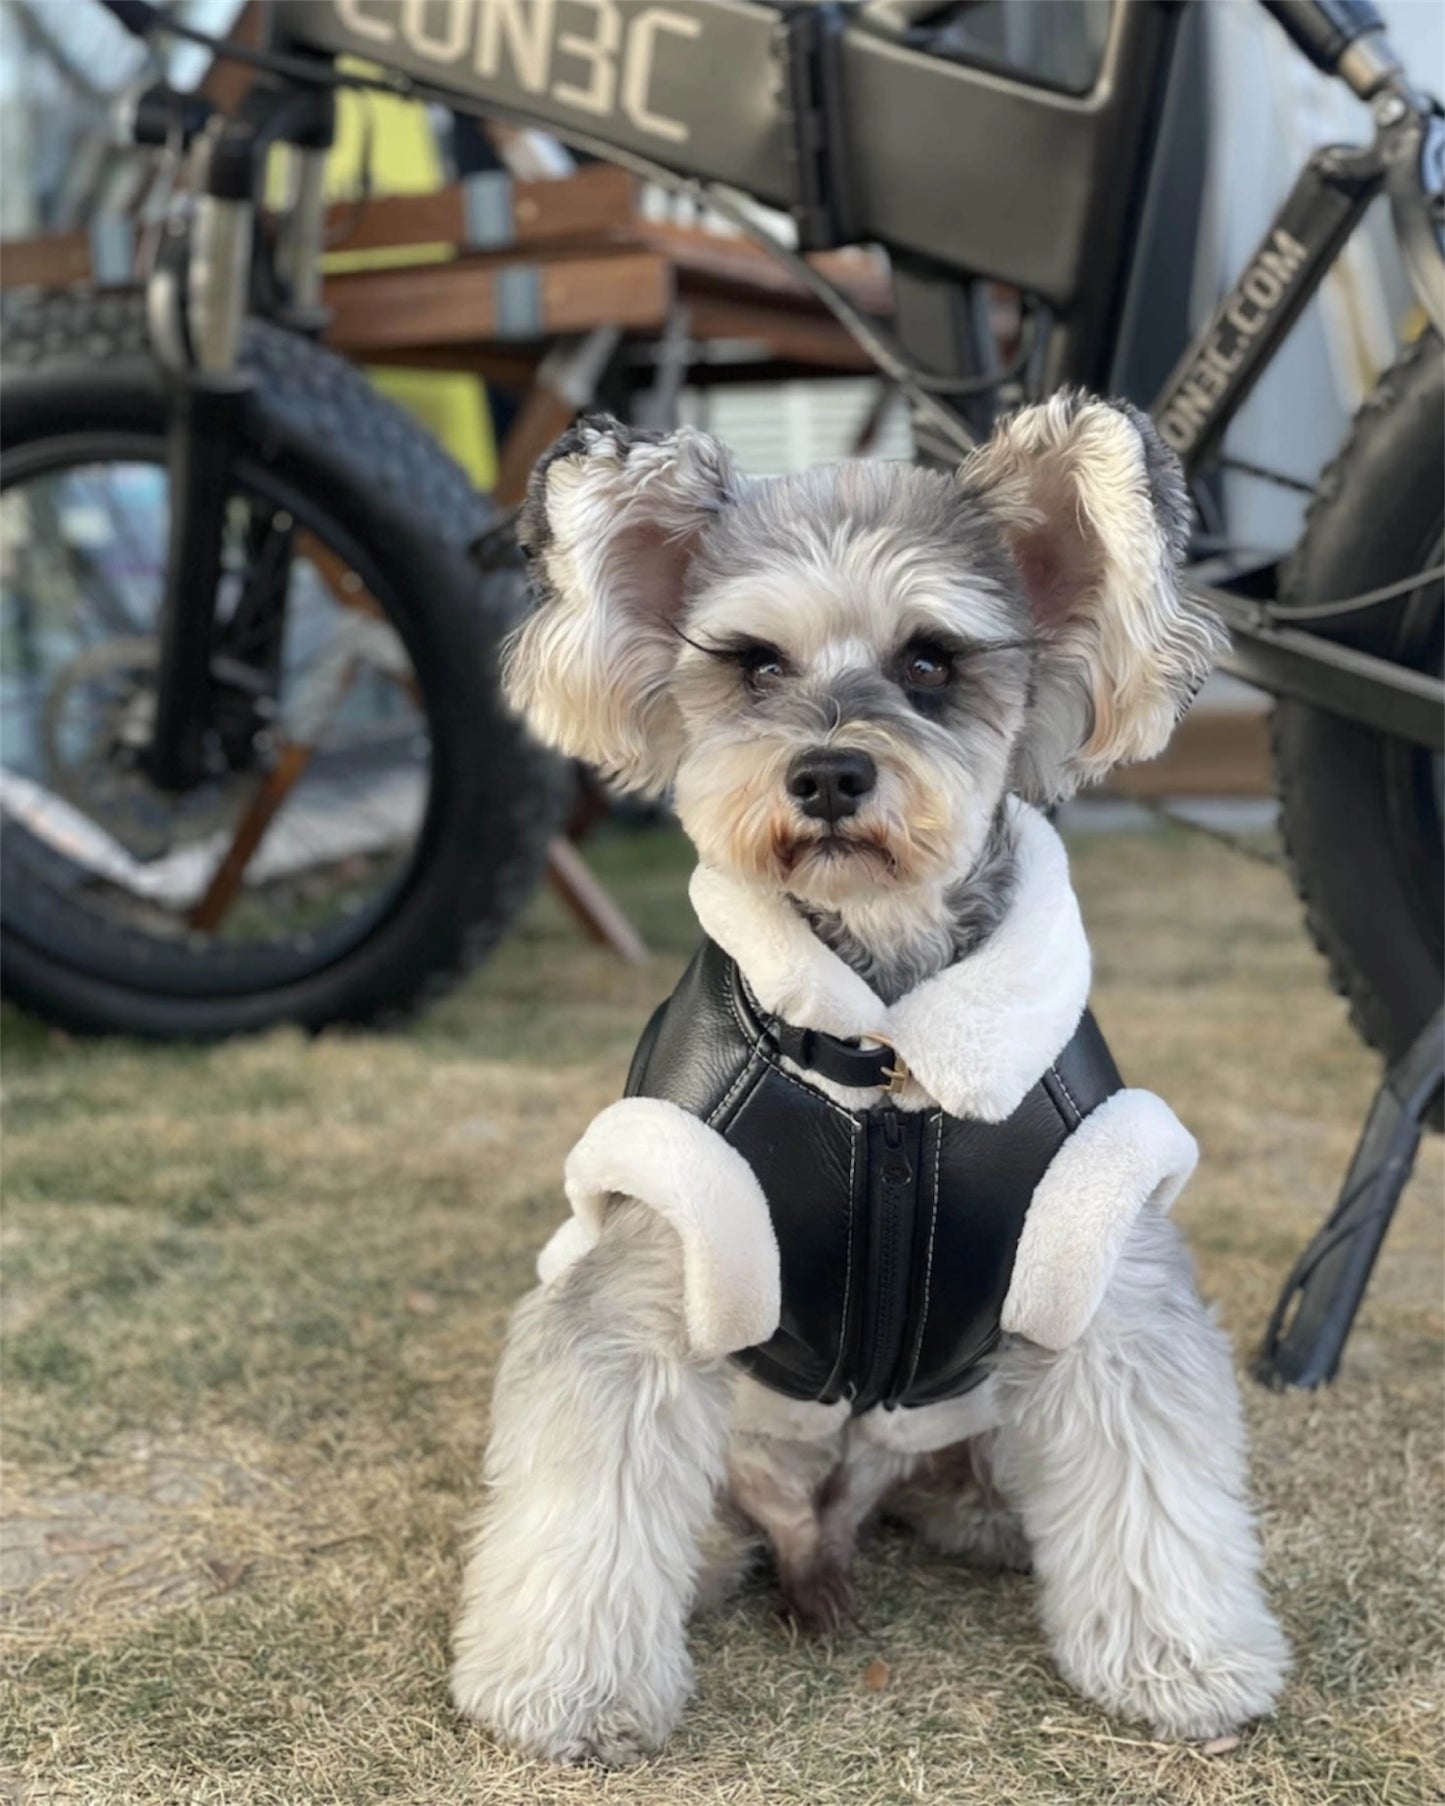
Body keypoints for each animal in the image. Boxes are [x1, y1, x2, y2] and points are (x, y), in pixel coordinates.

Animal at [451, 395, 1286, 1762]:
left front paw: (1181, 1662)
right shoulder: (652, 1261)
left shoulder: (1099, 1263)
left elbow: (1150, 1472)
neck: (886, 1057)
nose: (829, 773)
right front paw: (567, 1691)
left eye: (929, 662)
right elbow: (591, 1489)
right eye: (754, 665)